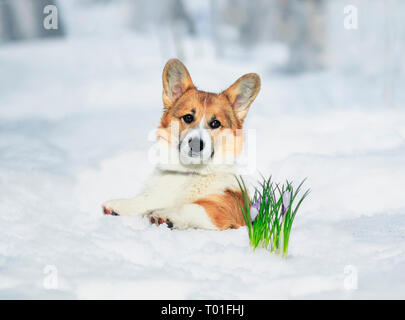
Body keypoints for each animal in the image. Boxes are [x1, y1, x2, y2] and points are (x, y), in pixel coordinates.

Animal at [101, 59, 258, 230]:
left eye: (215, 123)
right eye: (188, 117)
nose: (196, 144)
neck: (190, 172)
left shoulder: (225, 208)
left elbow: (192, 206)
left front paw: (165, 214)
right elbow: (147, 199)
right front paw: (121, 205)